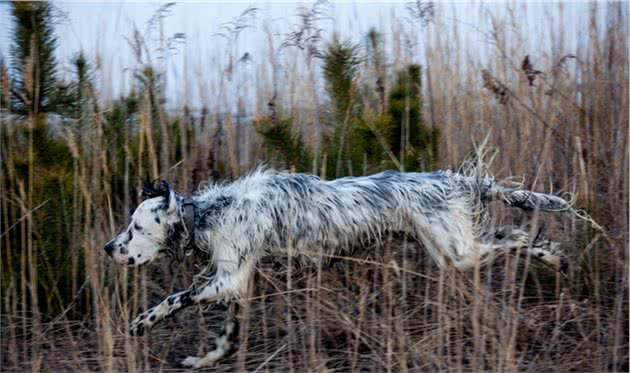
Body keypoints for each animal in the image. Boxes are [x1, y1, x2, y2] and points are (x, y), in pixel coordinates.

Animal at [105, 168, 572, 366]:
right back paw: (555, 254)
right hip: (450, 248)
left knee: (516, 237)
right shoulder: (236, 282)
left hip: (456, 252)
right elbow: (228, 337)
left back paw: (554, 256)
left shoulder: (226, 279)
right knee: (510, 234)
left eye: (134, 227)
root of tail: (452, 178)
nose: (109, 247)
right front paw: (204, 360)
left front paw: (142, 322)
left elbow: (174, 298)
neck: (211, 214)